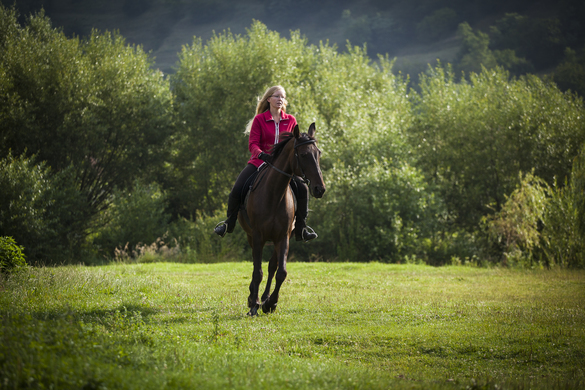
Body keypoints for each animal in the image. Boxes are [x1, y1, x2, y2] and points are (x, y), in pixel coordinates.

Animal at [238, 123, 328, 316]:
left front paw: (270, 303)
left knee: (272, 266)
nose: (320, 189)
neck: (274, 193)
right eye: (304, 154)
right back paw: (253, 297)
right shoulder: (257, 236)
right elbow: (257, 271)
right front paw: (254, 304)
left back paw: (264, 297)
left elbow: (281, 272)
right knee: (257, 266)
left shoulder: (283, 236)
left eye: (318, 153)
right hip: (251, 236)